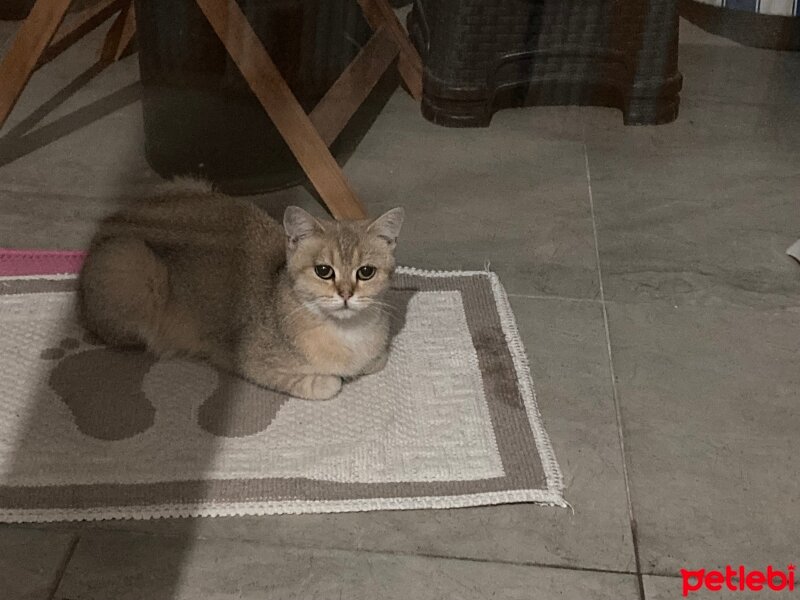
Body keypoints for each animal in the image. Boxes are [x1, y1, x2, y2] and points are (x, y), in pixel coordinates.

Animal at [78, 180, 404, 400]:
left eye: (366, 272)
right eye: (324, 271)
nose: (346, 294)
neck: (348, 334)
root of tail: (105, 226)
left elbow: (376, 361)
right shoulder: (249, 362)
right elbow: (329, 383)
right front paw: (332, 380)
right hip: (130, 263)